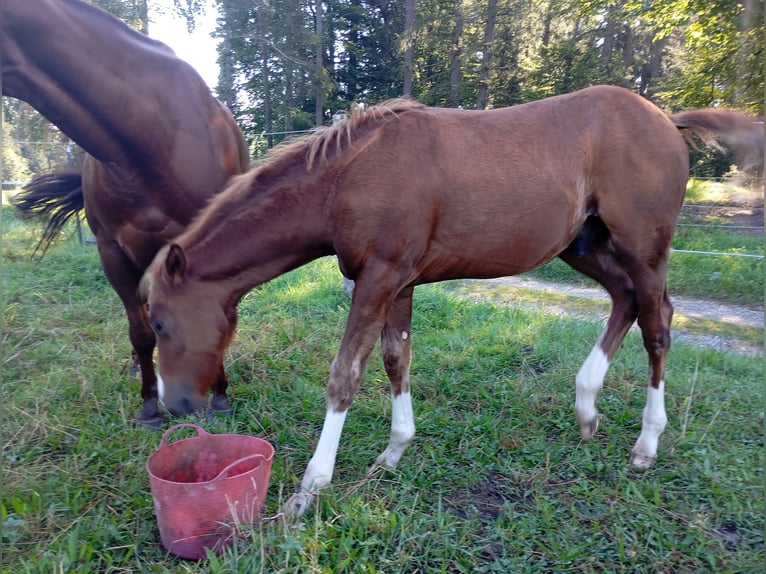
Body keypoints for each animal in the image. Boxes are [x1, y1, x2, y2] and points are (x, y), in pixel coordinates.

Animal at [140, 85, 762, 517]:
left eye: (161, 323)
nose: (175, 404)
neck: (349, 175)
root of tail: (665, 118)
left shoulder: (380, 277)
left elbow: (346, 374)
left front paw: (309, 491)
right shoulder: (398, 282)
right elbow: (396, 359)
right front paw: (393, 453)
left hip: (644, 246)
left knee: (658, 324)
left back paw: (646, 444)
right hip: (584, 245)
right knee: (624, 302)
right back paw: (586, 408)